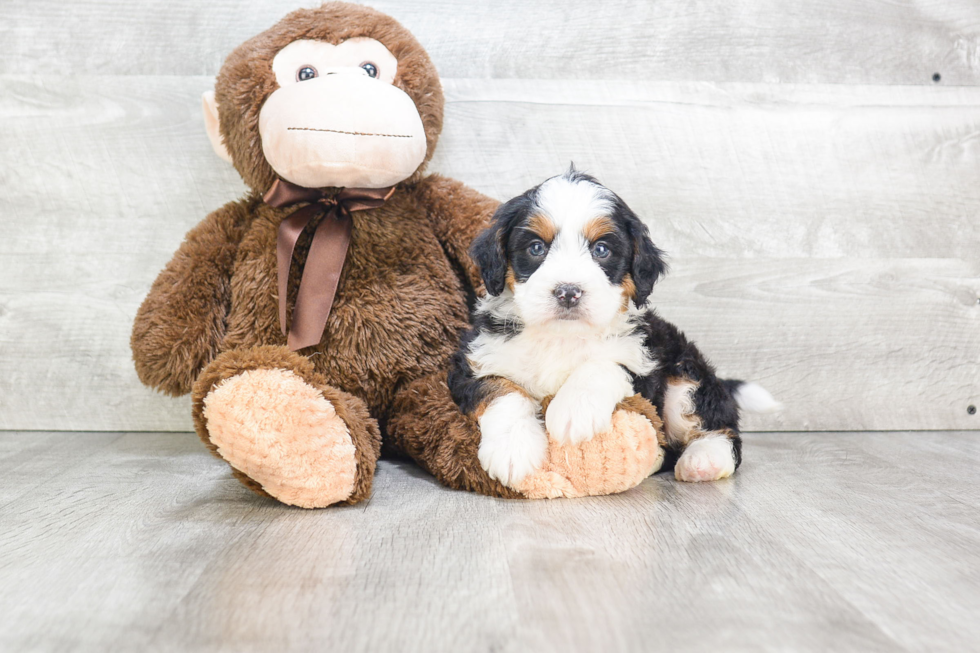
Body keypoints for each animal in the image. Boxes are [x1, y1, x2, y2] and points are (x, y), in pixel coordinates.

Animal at [448, 167, 776, 484]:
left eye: (601, 250)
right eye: (537, 248)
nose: (568, 292)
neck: (561, 337)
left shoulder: (643, 363)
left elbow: (603, 366)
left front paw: (573, 410)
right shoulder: (475, 361)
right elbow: (500, 388)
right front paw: (513, 449)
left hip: (684, 373)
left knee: (720, 428)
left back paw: (704, 459)